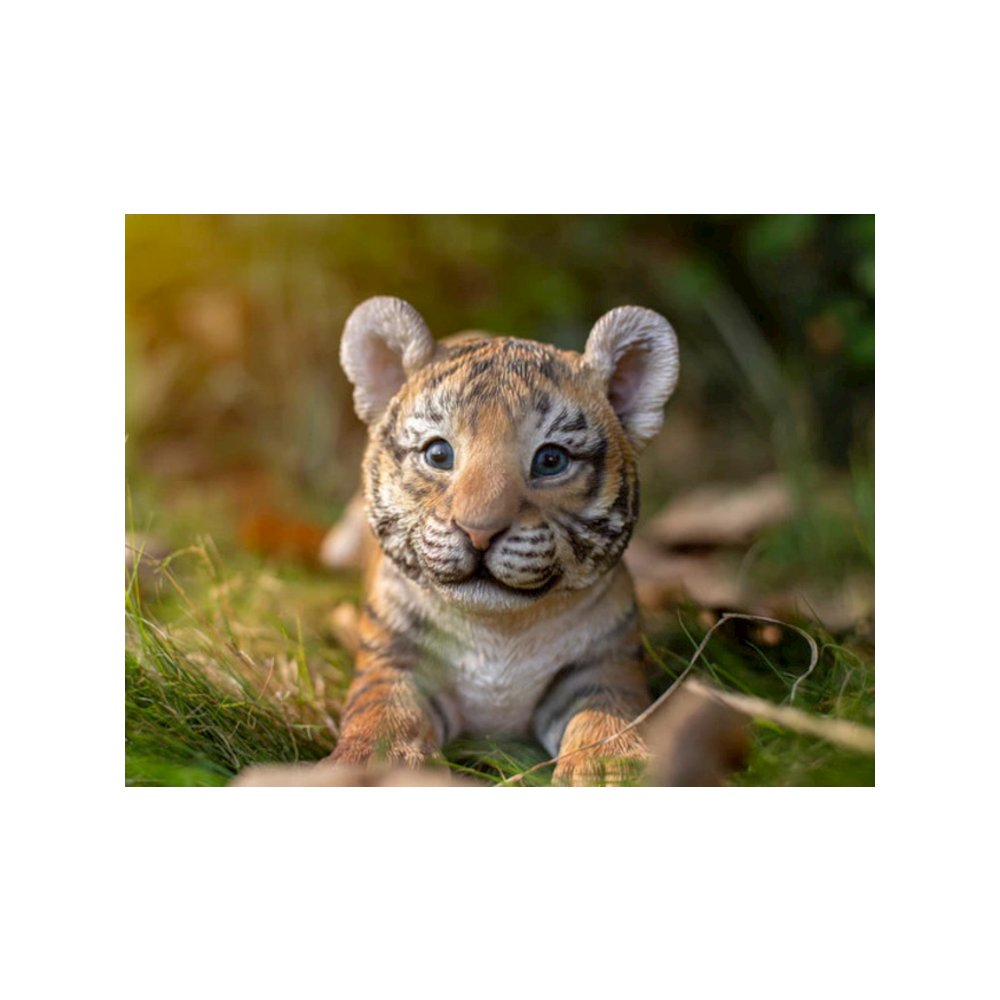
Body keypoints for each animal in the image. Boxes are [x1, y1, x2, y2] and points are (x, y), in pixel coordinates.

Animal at [325, 296, 679, 785]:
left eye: (551, 460)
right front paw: (371, 766)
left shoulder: (604, 666)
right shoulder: (394, 659)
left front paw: (613, 770)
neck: (497, 631)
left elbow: (608, 719)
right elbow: (382, 714)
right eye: (439, 454)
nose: (480, 530)